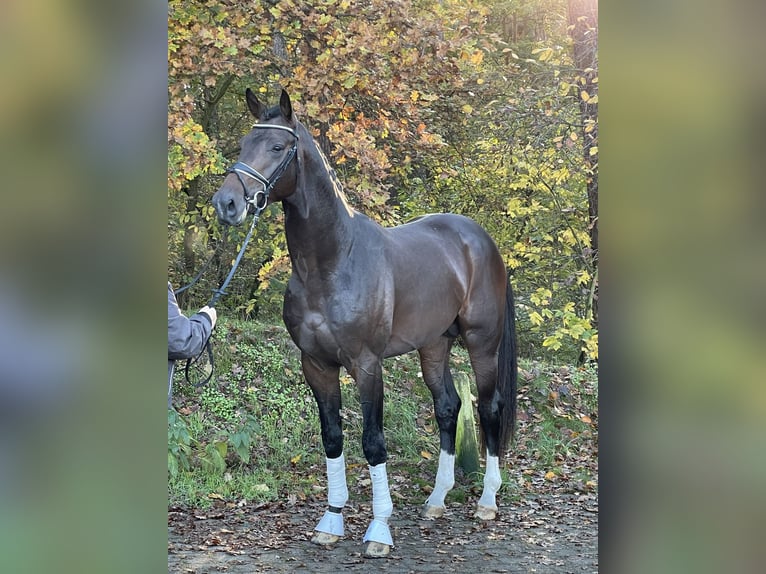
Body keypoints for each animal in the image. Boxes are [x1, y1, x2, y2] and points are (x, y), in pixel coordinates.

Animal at [213, 89, 520, 560]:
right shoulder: (316, 365)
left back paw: (487, 501)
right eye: (244, 144)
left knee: (489, 408)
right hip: (434, 345)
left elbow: (373, 442)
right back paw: (436, 501)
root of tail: (481, 240)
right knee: (448, 407)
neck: (332, 263)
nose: (227, 203)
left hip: (482, 344)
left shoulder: (366, 364)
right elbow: (332, 436)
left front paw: (378, 530)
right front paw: (331, 521)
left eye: (278, 147)